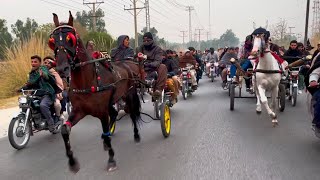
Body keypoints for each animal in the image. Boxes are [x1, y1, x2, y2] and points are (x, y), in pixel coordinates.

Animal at [48, 11, 141, 173]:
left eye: (70, 39)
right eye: (53, 41)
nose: (61, 69)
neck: (88, 80)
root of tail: (127, 64)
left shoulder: (102, 112)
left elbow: (106, 131)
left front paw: (111, 160)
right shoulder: (79, 111)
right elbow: (65, 130)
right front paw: (72, 162)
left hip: (129, 94)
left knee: (132, 114)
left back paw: (136, 135)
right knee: (114, 113)